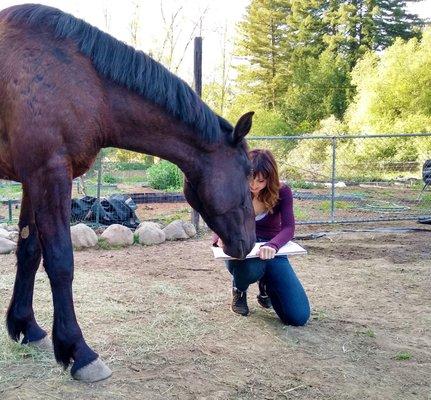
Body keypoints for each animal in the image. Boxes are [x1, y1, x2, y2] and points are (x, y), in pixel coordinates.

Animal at [0, 4, 256, 382]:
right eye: (248, 172)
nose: (249, 243)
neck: (80, 78)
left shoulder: (33, 178)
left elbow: (29, 252)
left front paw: (25, 327)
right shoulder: (49, 174)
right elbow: (60, 261)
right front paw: (78, 351)